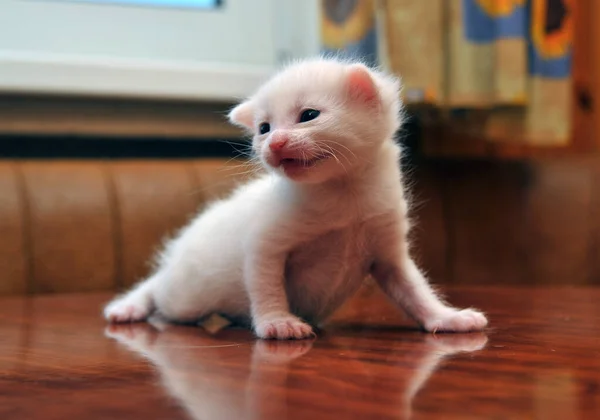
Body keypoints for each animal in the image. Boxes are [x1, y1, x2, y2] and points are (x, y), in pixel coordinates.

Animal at [103, 57, 488, 340]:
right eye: (264, 128)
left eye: (308, 116)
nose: (274, 144)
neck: (343, 192)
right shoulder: (264, 245)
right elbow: (266, 285)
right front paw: (277, 322)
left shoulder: (388, 252)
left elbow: (413, 288)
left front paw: (446, 317)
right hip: (184, 295)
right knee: (158, 286)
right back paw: (128, 307)